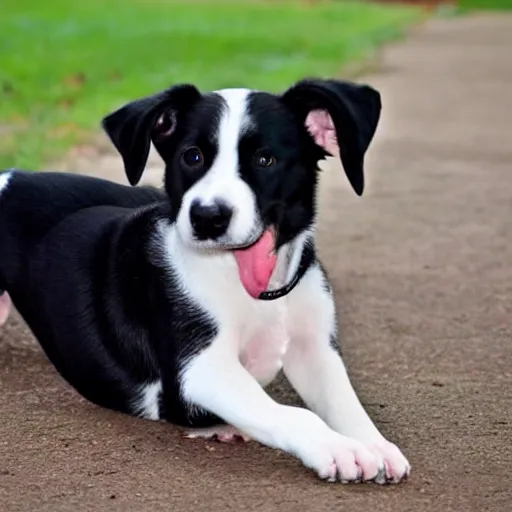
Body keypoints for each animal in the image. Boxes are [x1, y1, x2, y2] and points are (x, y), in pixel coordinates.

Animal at [0, 79, 410, 484]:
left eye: (265, 159)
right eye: (192, 156)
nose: (207, 217)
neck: (256, 290)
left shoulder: (315, 346)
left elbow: (344, 400)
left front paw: (375, 445)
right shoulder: (196, 371)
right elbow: (293, 412)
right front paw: (336, 448)